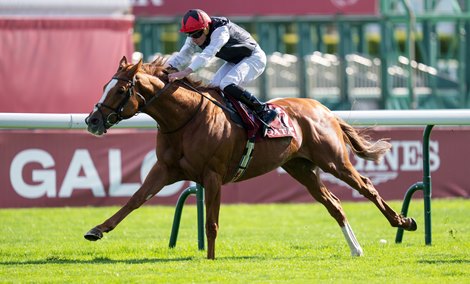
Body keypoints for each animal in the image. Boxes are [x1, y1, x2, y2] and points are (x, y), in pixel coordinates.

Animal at [83, 56, 414, 260]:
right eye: (104, 86)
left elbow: (211, 223)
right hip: (300, 167)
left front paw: (211, 259)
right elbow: (135, 199)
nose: (92, 121)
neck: (185, 118)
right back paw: (356, 249)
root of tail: (324, 108)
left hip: (333, 160)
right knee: (334, 203)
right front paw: (96, 230)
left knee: (366, 186)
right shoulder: (166, 169)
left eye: (121, 89)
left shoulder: (213, 175)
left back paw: (403, 221)